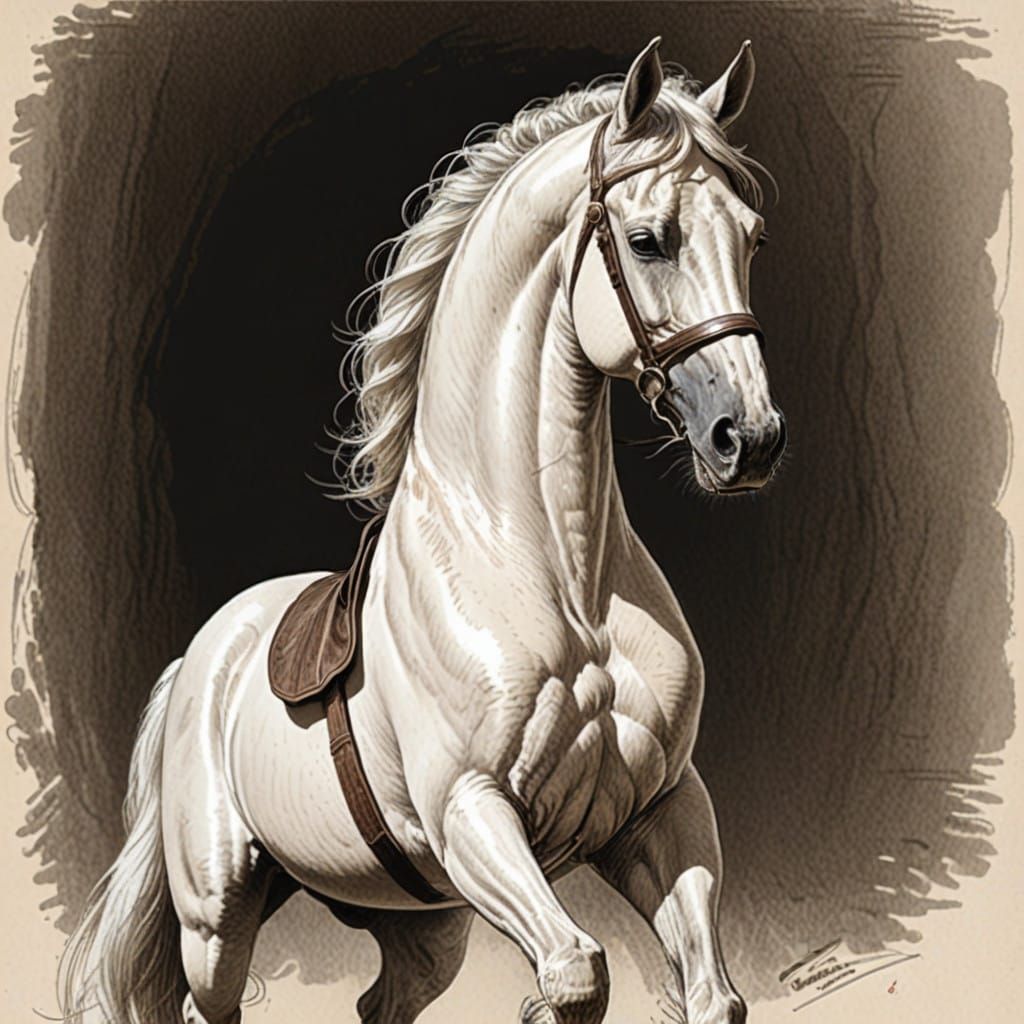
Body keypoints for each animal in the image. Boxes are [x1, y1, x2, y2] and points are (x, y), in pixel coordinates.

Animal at [59, 38, 785, 1024]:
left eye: (751, 236)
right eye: (647, 240)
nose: (748, 437)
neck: (559, 575)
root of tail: (199, 660)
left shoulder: (662, 812)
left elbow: (711, 995)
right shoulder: (472, 813)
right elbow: (576, 972)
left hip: (420, 923)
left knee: (383, 1002)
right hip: (217, 913)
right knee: (207, 999)